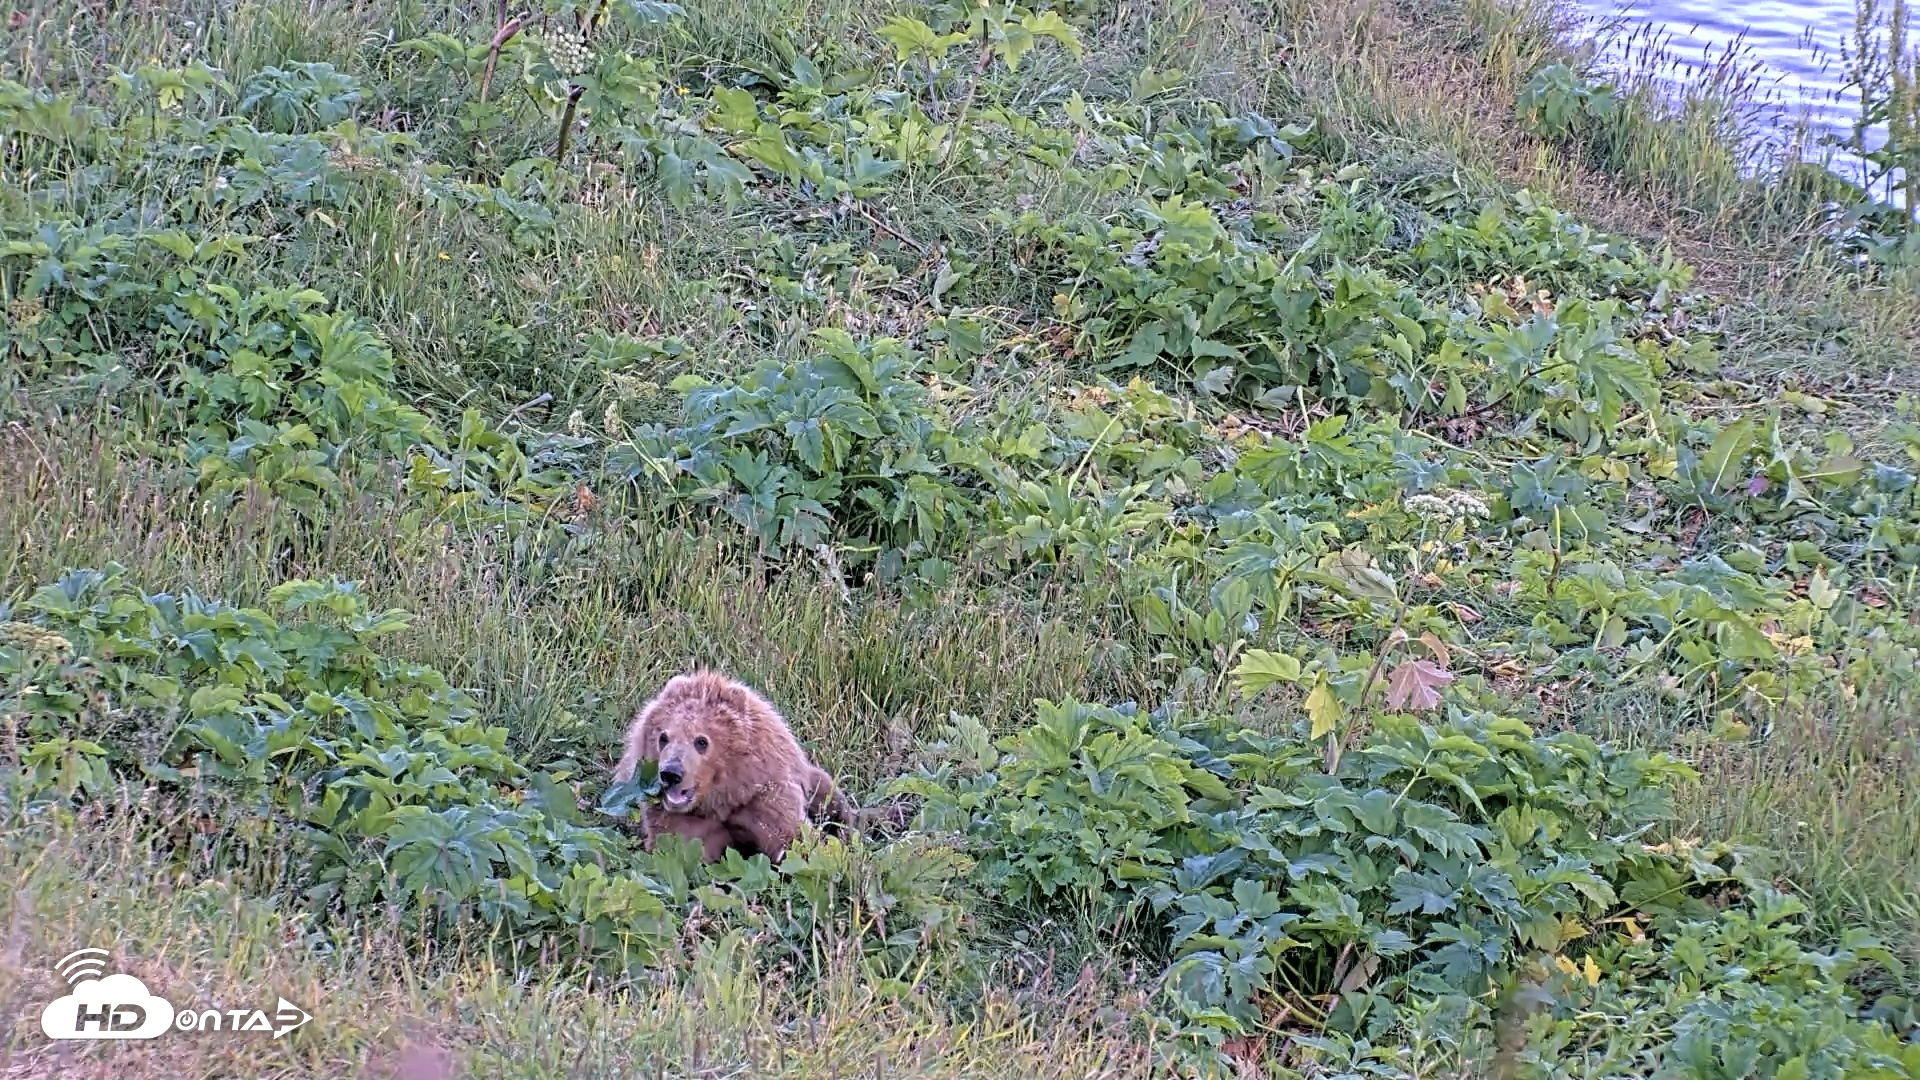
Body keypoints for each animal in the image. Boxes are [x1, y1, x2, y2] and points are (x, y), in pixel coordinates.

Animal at [612, 670, 854, 863]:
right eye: (663, 737)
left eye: (701, 741)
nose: (671, 774)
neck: (722, 798)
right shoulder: (678, 820)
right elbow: (680, 852)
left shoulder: (767, 797)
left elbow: (797, 845)